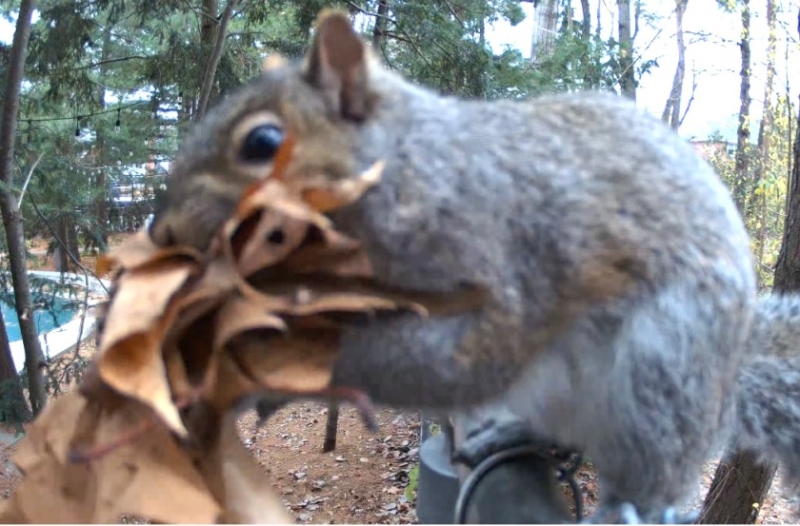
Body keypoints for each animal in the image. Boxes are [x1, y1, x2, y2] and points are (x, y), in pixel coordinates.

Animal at [150, 10, 800, 524]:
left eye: (262, 143)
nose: (163, 232)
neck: (412, 171)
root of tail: (727, 379)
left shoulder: (511, 256)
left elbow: (469, 361)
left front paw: (257, 361)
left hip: (663, 370)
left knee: (652, 475)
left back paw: (624, 508)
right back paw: (513, 434)